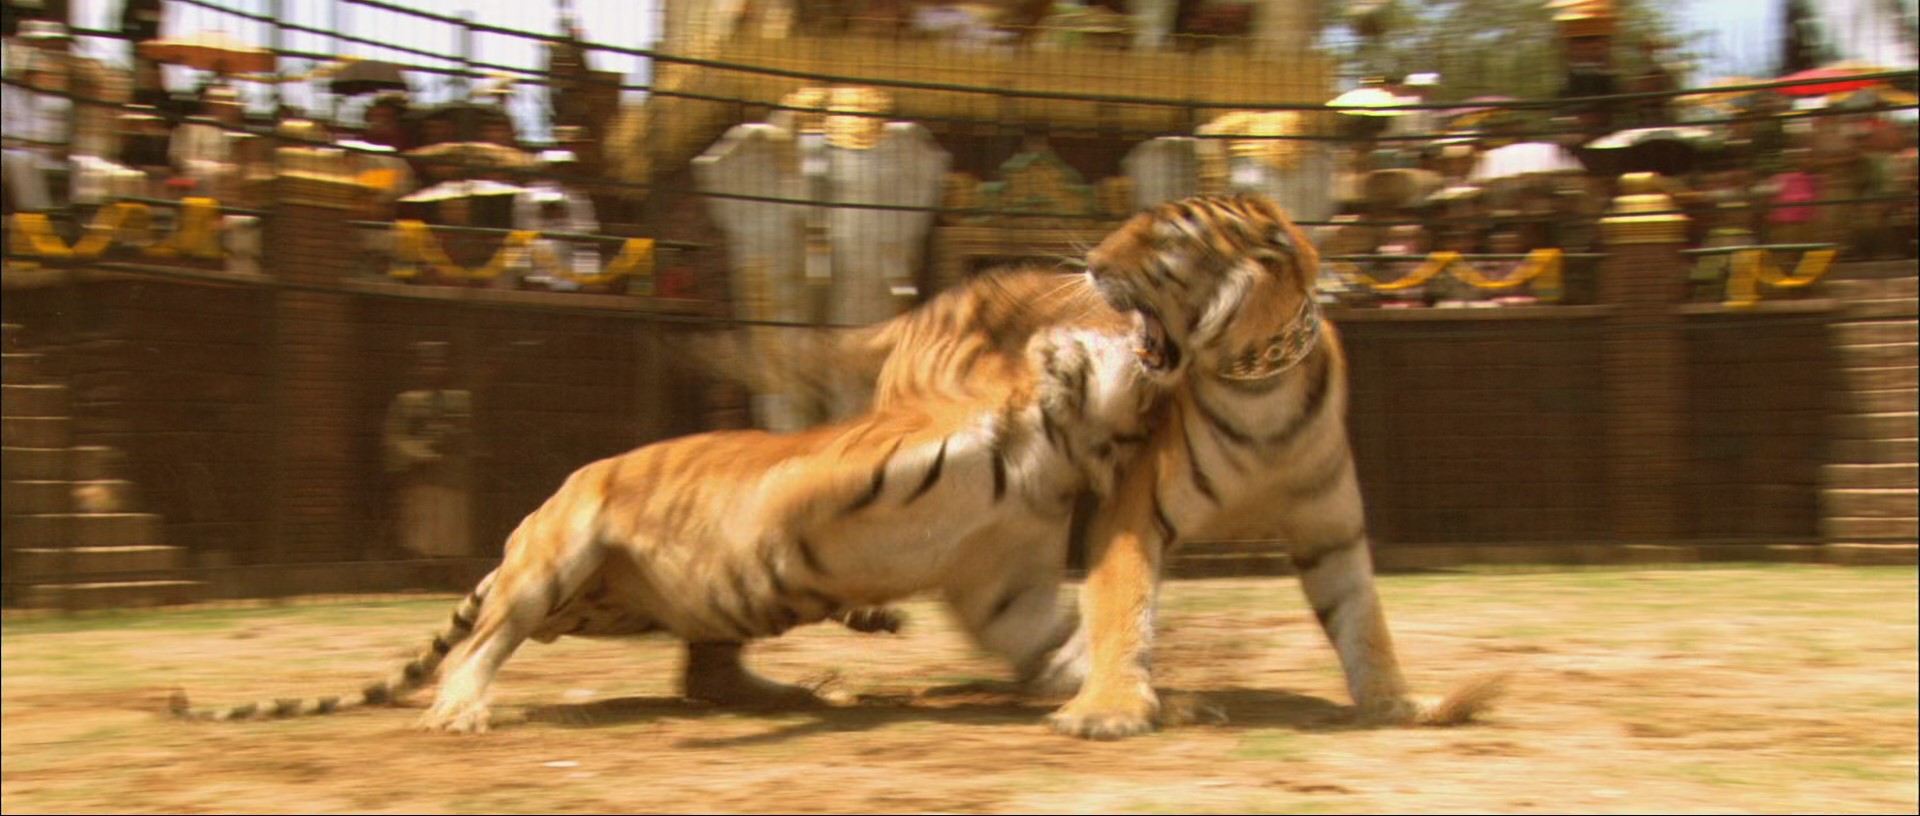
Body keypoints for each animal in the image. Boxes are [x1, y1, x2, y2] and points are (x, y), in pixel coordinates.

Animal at [172, 322, 1165, 734]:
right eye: (1118, 338)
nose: (1156, 342)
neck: (1055, 451)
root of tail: (520, 537)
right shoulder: (823, 477)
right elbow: (774, 504)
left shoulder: (1005, 580)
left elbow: (1051, 641)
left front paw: (1106, 691)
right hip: (556, 557)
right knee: (483, 643)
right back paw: (462, 709)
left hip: (629, 608)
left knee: (704, 672)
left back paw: (798, 688)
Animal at [808, 193, 1504, 739]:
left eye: (1168, 239)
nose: (1090, 263)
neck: (1261, 387)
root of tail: (924, 308)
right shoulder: (1133, 512)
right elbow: (1126, 608)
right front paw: (1107, 710)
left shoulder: (1330, 530)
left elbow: (1363, 620)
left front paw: (1397, 702)